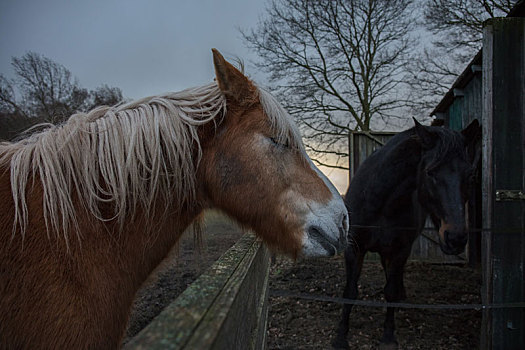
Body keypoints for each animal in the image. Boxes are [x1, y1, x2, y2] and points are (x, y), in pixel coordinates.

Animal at [332, 119, 478, 348]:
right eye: (430, 172)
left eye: (470, 174)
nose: (456, 238)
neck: (381, 201)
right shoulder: (355, 249)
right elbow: (350, 291)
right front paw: (340, 337)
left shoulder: (400, 250)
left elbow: (390, 291)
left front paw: (388, 337)